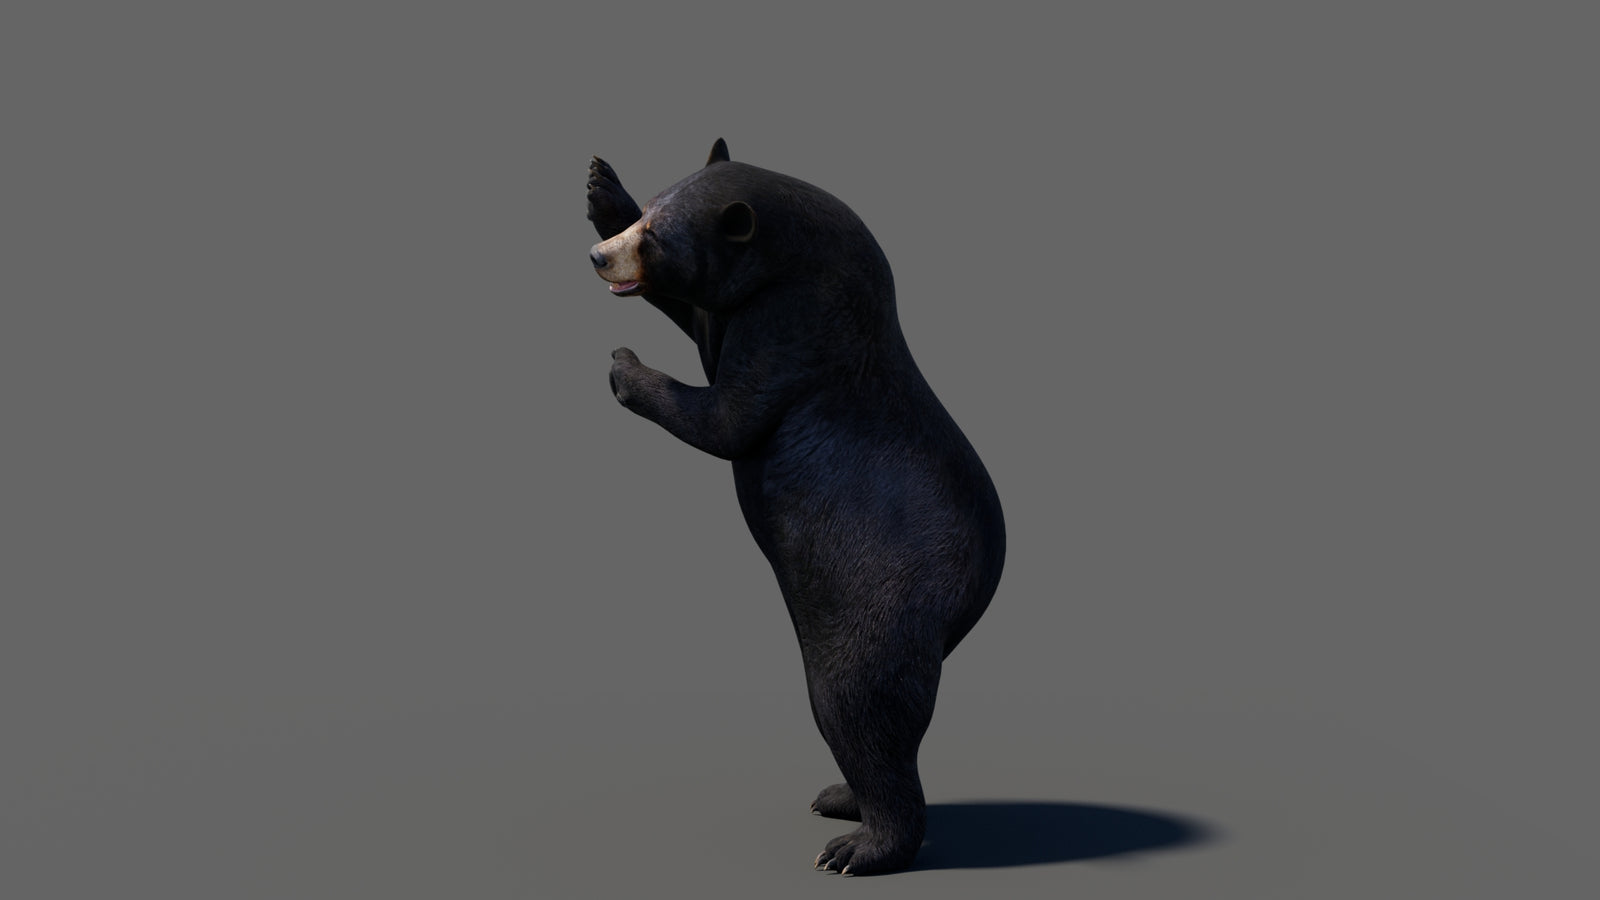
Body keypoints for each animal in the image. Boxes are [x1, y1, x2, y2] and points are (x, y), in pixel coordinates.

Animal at [586, 139, 1005, 875]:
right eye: (646, 219)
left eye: (658, 239)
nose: (600, 257)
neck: (800, 261)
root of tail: (974, 593)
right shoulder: (754, 304)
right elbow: (699, 318)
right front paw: (599, 187)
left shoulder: (800, 326)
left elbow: (728, 418)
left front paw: (624, 366)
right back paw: (840, 797)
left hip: (877, 606)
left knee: (858, 708)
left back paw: (861, 846)